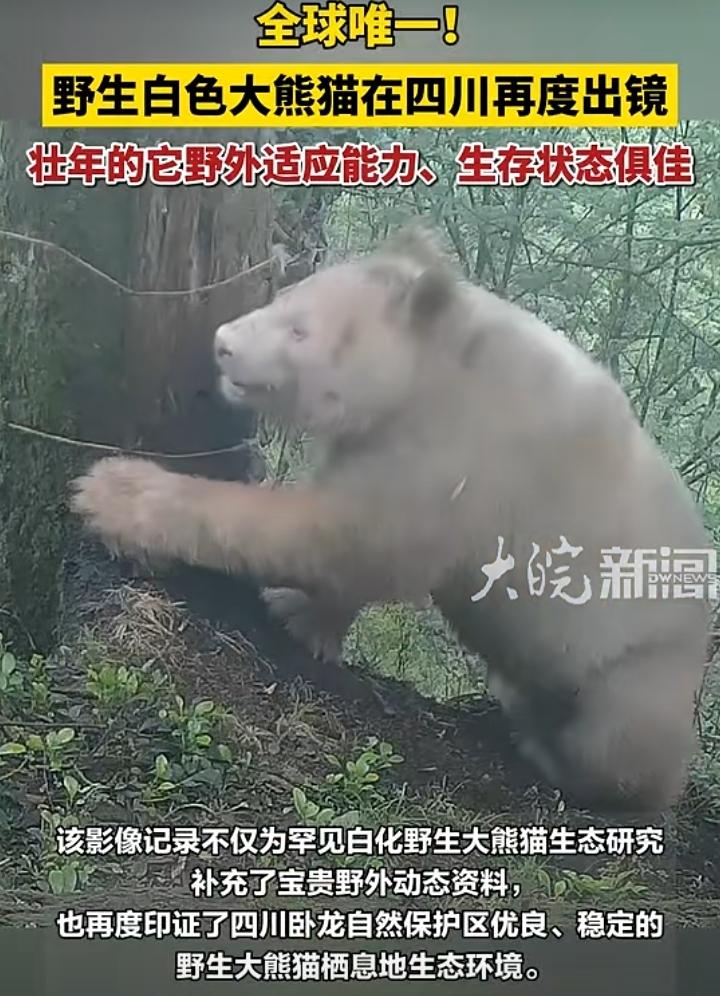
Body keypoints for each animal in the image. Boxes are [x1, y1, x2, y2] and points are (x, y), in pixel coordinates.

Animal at [71, 227, 714, 813]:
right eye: (285, 294)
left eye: (301, 328)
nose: (223, 342)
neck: (441, 356)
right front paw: (304, 616)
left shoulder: (469, 449)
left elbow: (351, 534)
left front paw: (115, 495)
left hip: (640, 657)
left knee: (619, 740)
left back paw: (561, 757)